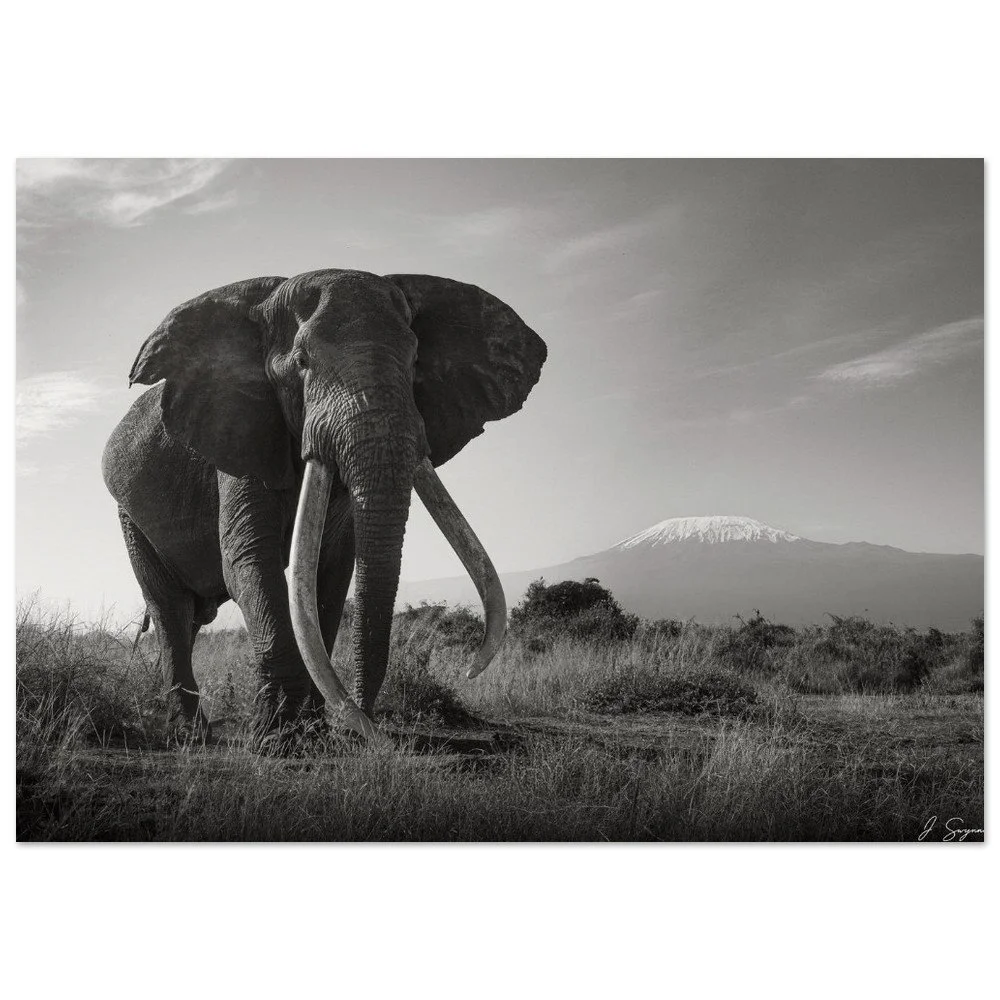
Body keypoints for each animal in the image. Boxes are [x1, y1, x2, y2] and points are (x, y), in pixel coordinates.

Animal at [102, 269, 547, 739]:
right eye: (301, 362)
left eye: (414, 361)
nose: (368, 726)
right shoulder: (238, 433)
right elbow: (249, 559)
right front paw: (278, 738)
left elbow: (327, 574)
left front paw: (313, 731)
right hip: (130, 518)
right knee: (169, 608)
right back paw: (192, 734)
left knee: (189, 617)